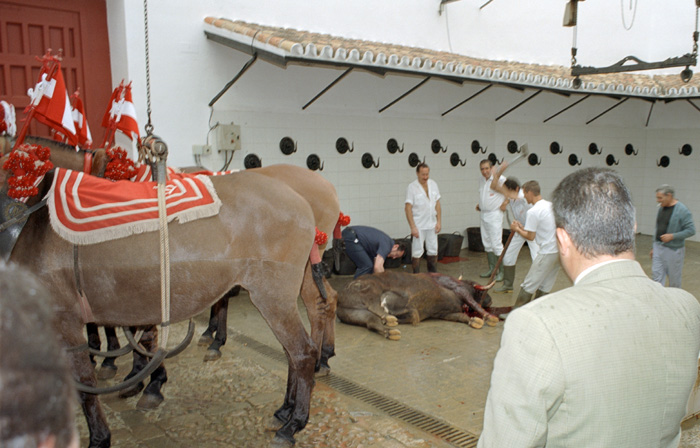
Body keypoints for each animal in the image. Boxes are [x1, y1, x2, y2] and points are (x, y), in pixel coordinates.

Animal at [0, 148, 338, 448]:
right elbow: (140, 341)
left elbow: (85, 382)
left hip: (273, 297)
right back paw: (286, 407)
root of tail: (304, 198)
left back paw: (294, 421)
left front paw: (102, 433)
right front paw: (144, 382)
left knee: (303, 350)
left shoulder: (65, 320)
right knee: (307, 330)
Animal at [338, 270, 498, 340]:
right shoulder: (461, 291)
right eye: (480, 293)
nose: (490, 301)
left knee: (372, 321)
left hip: (355, 313)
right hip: (373, 291)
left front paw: (474, 321)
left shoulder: (444, 313)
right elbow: (475, 305)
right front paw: (490, 318)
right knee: (378, 307)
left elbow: (461, 317)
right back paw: (392, 319)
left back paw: (392, 330)